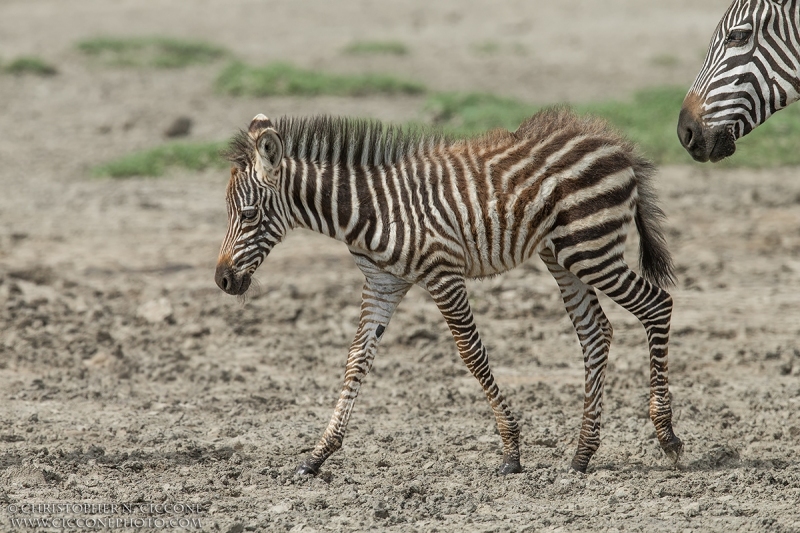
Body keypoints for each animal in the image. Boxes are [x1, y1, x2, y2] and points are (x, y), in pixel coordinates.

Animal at [212, 108, 680, 474]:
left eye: (248, 214)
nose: (222, 281)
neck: (369, 211)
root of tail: (613, 143)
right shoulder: (382, 285)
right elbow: (356, 360)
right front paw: (317, 455)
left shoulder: (443, 274)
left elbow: (472, 355)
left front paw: (511, 451)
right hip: (562, 255)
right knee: (595, 333)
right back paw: (583, 454)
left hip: (591, 249)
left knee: (657, 305)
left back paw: (667, 436)